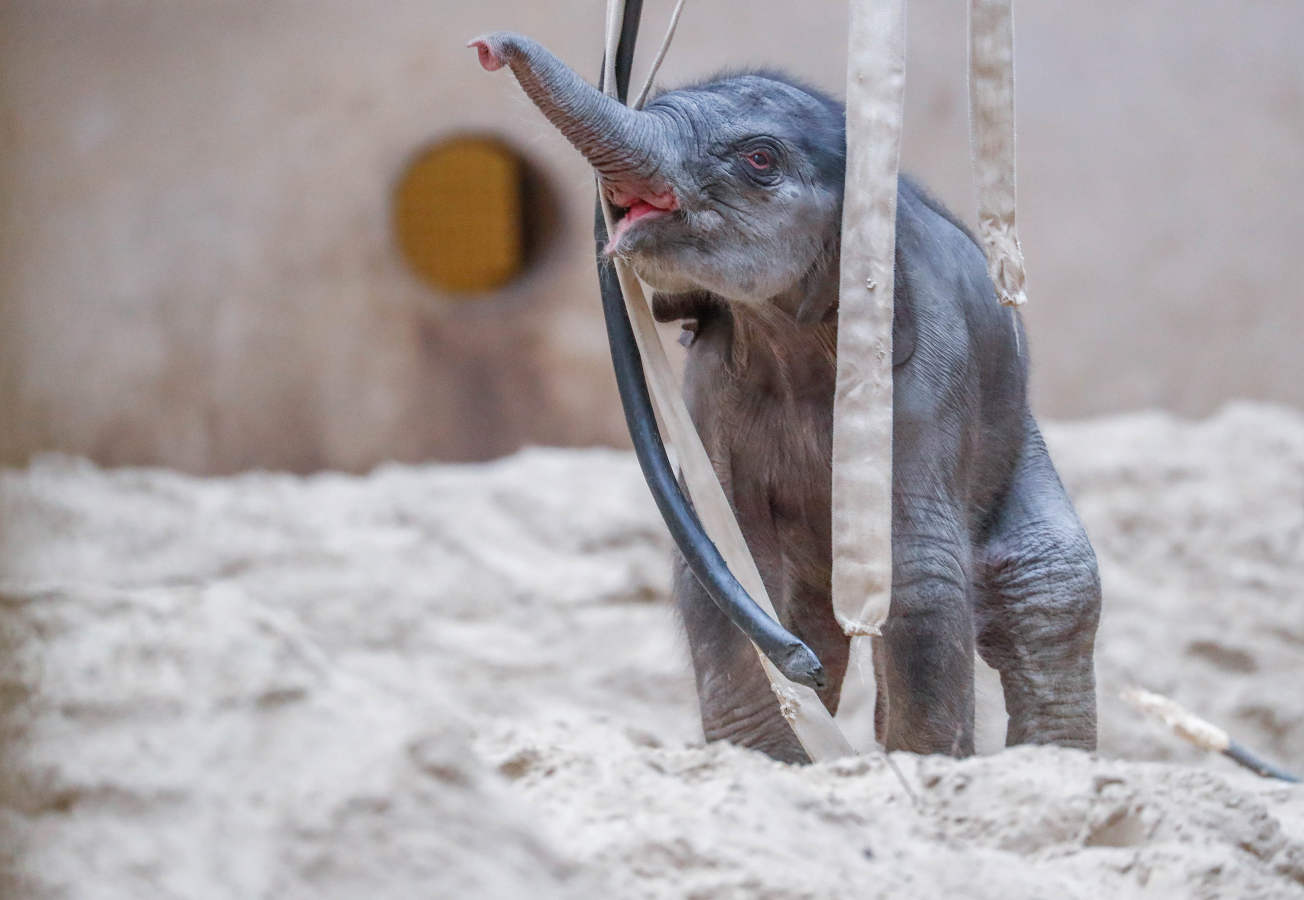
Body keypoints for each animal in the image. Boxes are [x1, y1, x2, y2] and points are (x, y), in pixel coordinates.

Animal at [472, 31, 1100, 756]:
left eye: (760, 159)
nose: (490, 46)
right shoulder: (711, 386)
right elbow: (729, 562)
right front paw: (771, 760)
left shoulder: (931, 371)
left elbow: (919, 574)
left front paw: (919, 764)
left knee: (1052, 593)